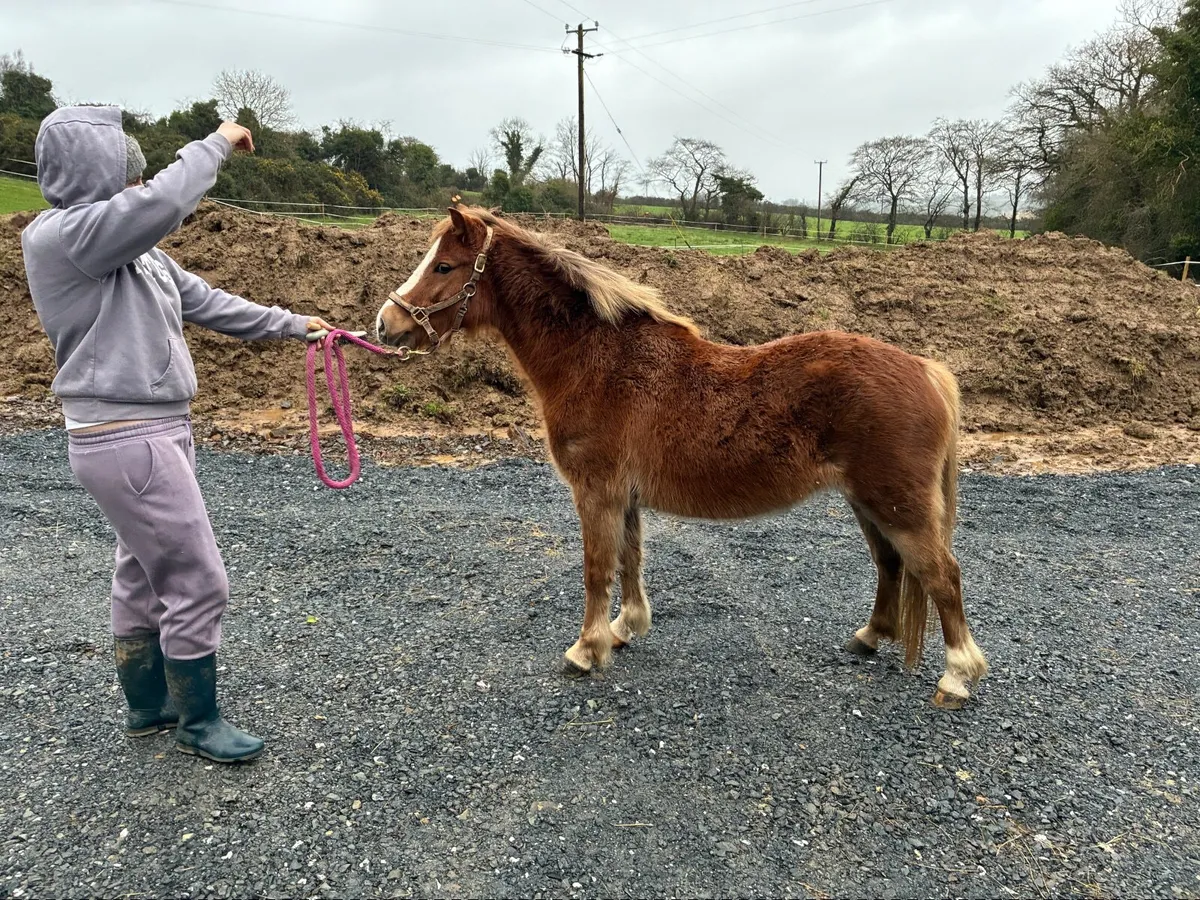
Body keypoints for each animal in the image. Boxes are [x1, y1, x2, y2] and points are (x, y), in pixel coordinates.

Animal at [375, 206, 988, 707]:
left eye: (445, 266)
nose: (388, 323)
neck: (599, 361)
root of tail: (927, 370)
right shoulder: (625, 497)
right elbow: (630, 561)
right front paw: (623, 630)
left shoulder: (597, 491)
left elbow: (597, 569)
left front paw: (585, 650)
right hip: (869, 502)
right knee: (892, 565)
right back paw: (870, 637)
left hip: (898, 505)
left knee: (941, 574)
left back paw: (957, 676)